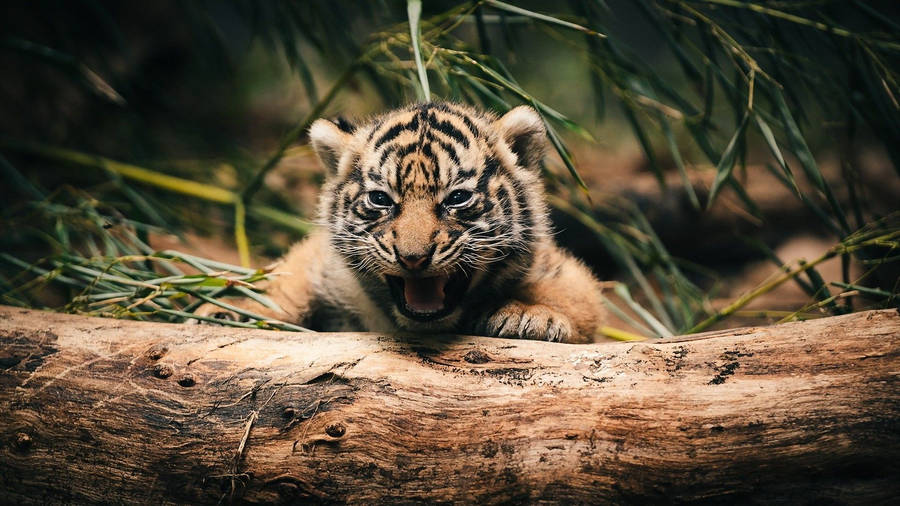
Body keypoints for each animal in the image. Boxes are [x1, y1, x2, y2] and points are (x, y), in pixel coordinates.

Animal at [197, 103, 606, 343]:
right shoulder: (320, 261)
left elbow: (576, 294)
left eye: (457, 198)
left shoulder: (559, 268)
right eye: (381, 199)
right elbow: (287, 277)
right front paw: (231, 308)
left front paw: (528, 315)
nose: (413, 258)